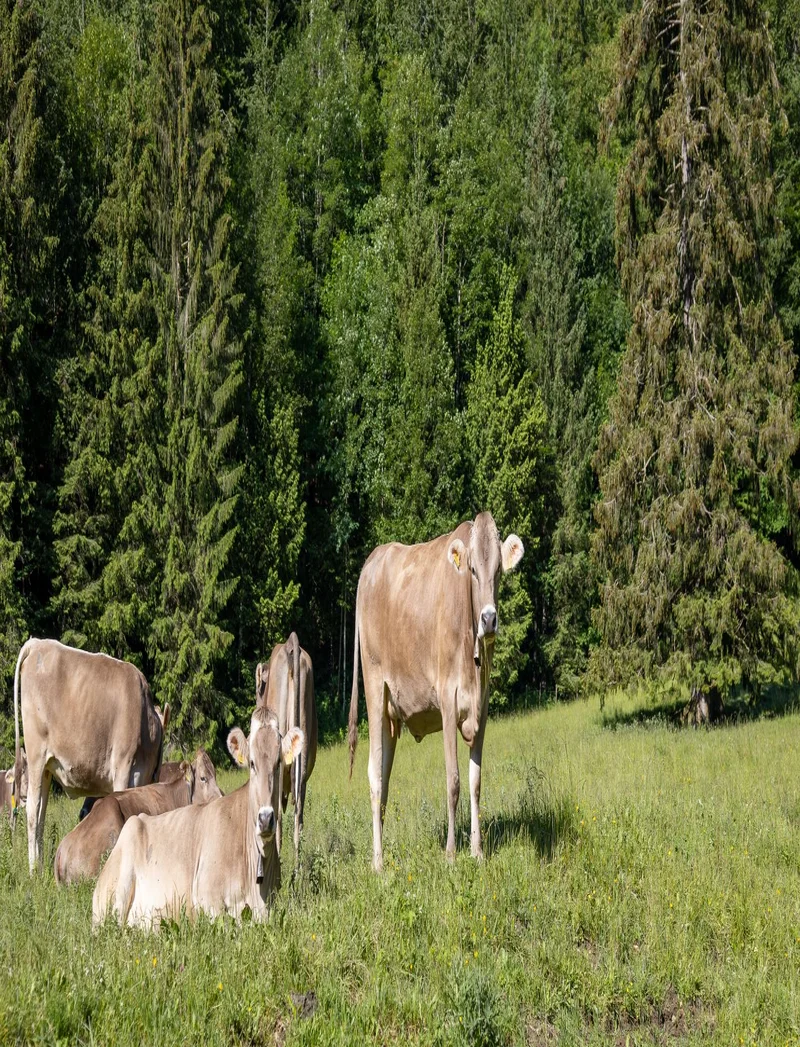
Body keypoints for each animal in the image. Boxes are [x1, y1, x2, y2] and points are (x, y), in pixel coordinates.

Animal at [13, 638, 169, 872]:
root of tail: (36, 643)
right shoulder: (123, 766)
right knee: (33, 809)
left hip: (47, 767)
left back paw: (41, 868)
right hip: (35, 755)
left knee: (41, 810)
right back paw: (33, 870)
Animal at [348, 512, 524, 871]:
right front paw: (451, 854)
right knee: (374, 776)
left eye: (499, 570)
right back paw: (378, 861)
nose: (489, 619)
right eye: (472, 570)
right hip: (373, 685)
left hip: (390, 712)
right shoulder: (448, 700)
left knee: (385, 777)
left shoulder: (482, 708)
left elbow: (475, 781)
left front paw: (477, 851)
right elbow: (453, 781)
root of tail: (372, 561)